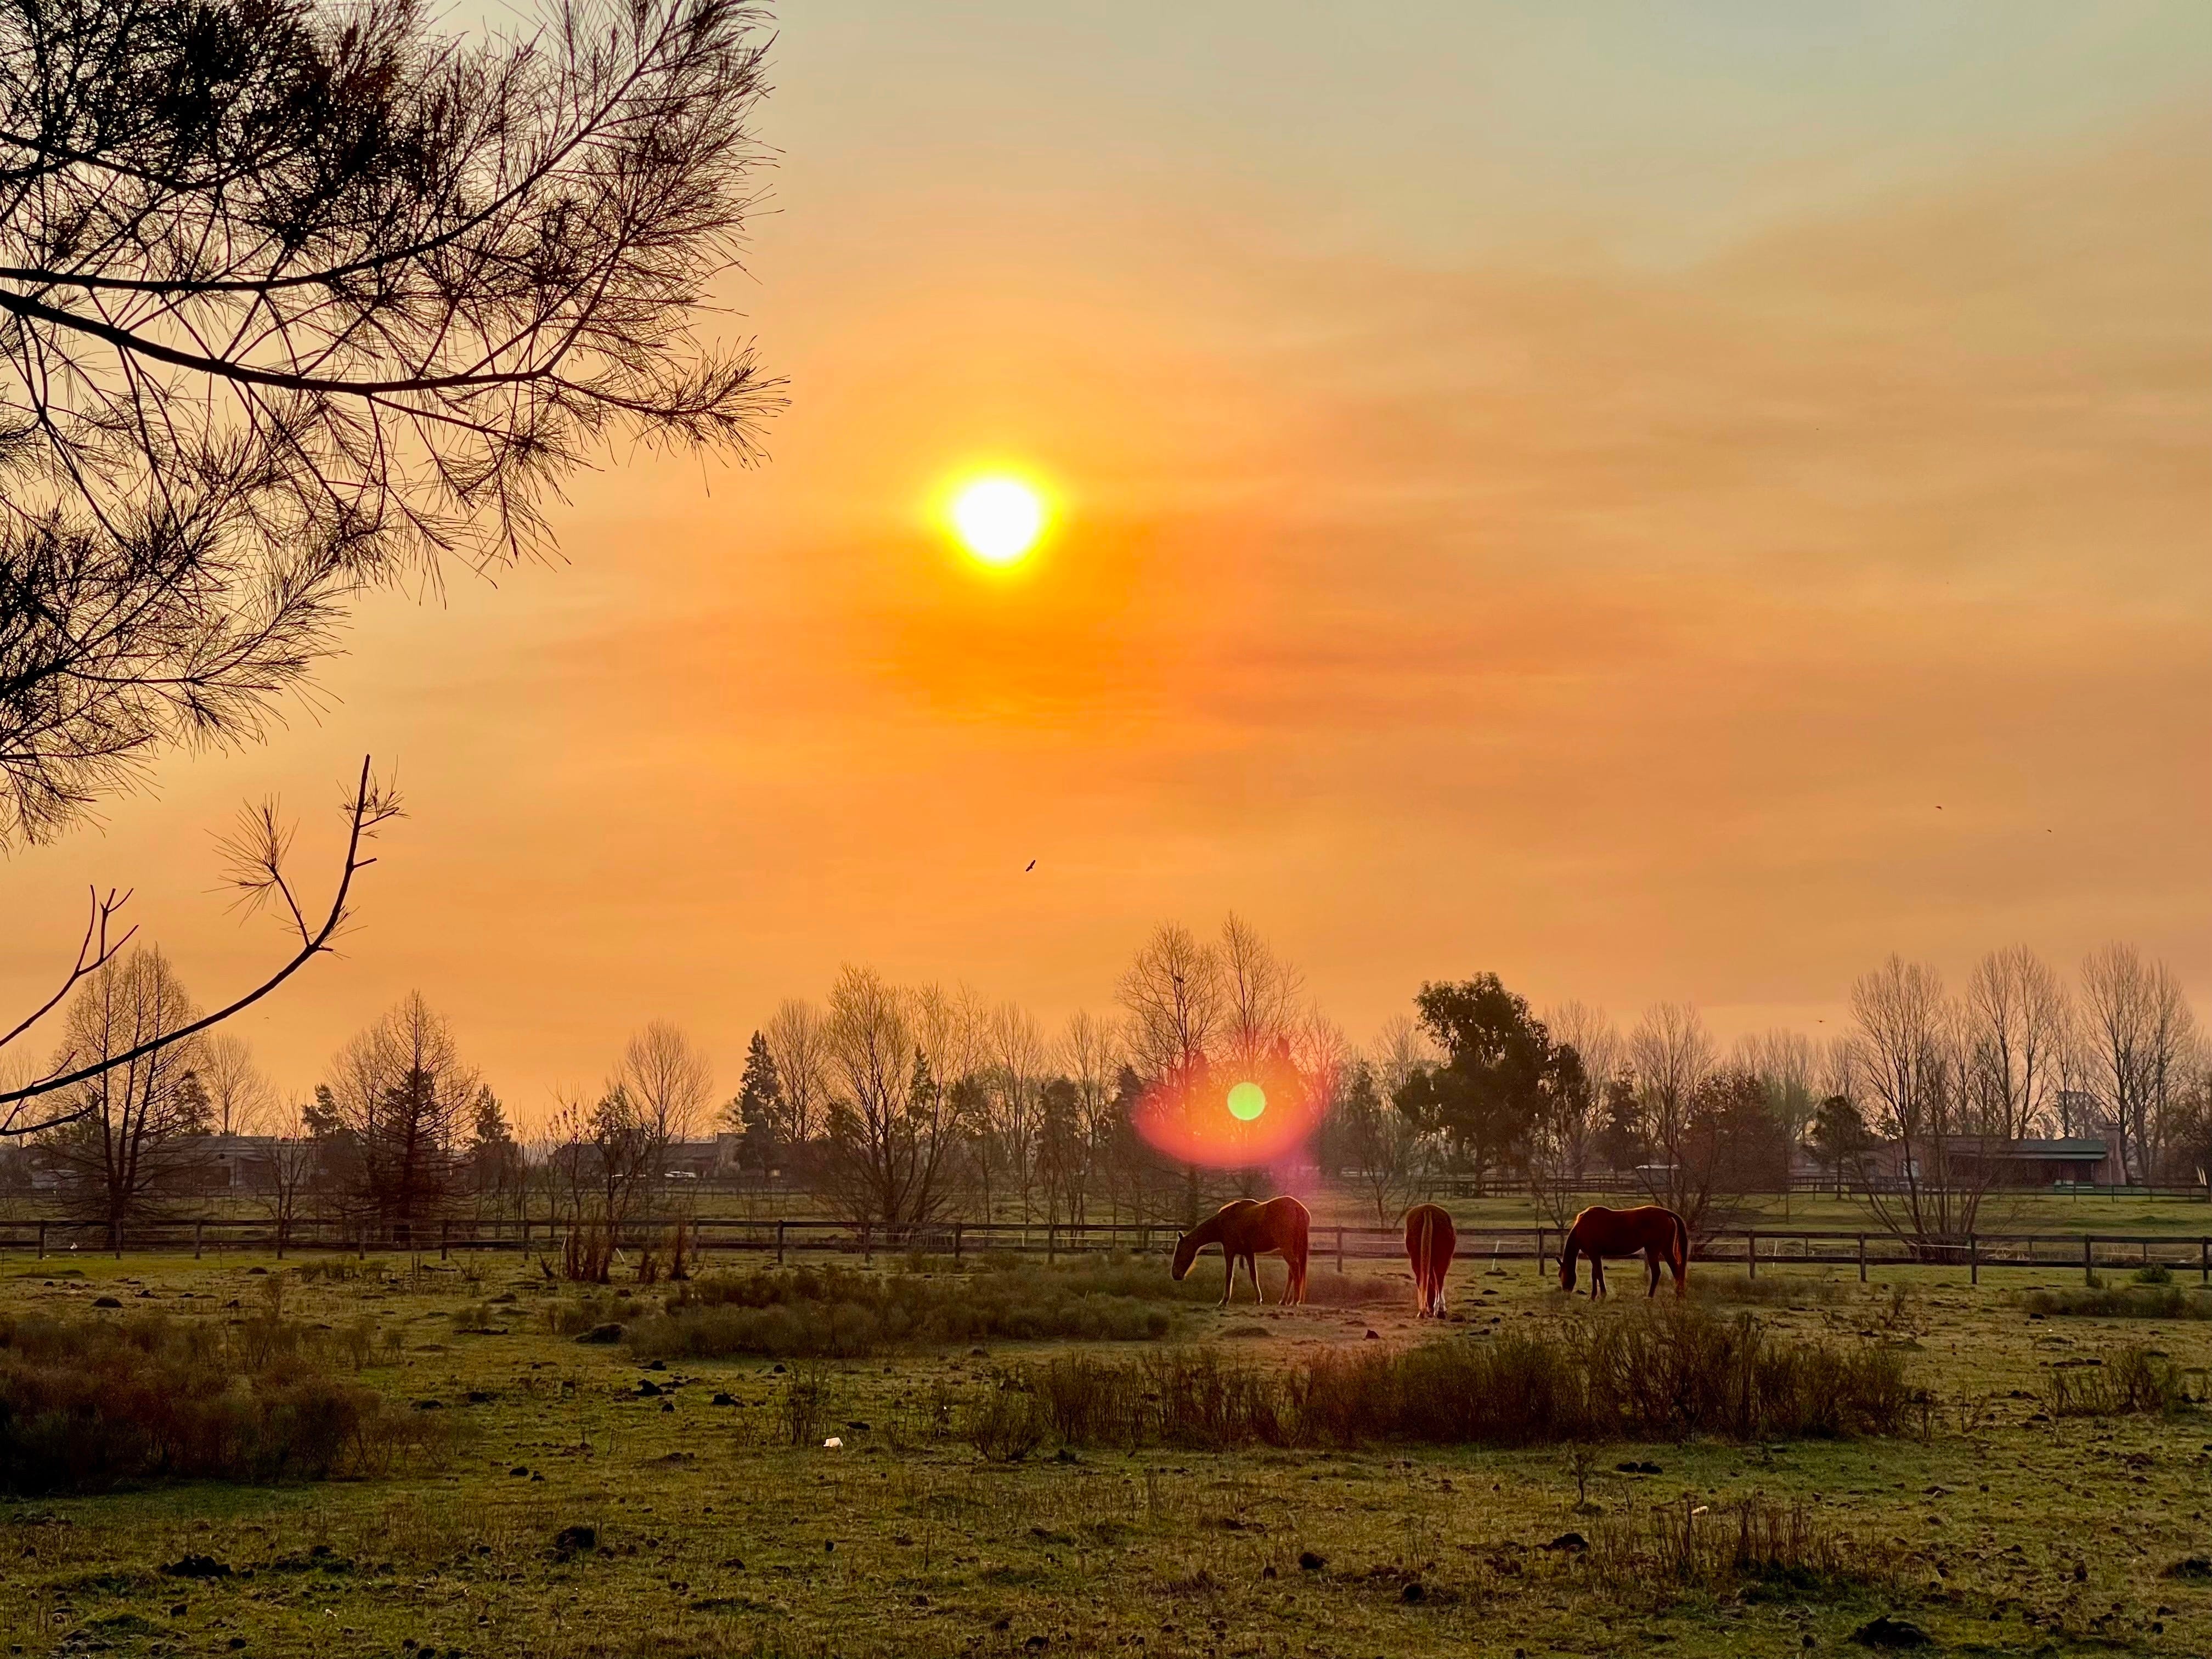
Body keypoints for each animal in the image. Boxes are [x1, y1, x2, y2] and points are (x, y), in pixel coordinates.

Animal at [1177, 1194, 1309, 1309]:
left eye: (1180, 1252)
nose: (1176, 1275)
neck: (1225, 1221)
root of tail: (1298, 1208)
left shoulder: (1229, 1251)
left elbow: (1229, 1275)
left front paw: (1224, 1301)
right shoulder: (1249, 1253)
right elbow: (1253, 1275)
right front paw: (1258, 1299)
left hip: (1287, 1249)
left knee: (1294, 1267)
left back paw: (1295, 1300)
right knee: (1292, 1271)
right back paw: (1285, 1301)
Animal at [1407, 1203, 1460, 1318]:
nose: (1429, 1309)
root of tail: (1428, 1209)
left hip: (1416, 1259)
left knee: (1420, 1279)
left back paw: (1424, 1311)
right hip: (1443, 1260)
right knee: (1439, 1280)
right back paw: (1439, 1310)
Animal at [1557, 1203, 1690, 1309]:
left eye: (1560, 1275)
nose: (1565, 1293)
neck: (1582, 1227)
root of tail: (1666, 1213)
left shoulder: (1594, 1255)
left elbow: (1599, 1274)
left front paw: (1603, 1296)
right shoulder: (1596, 1255)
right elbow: (1595, 1275)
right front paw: (1593, 1297)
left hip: (1653, 1251)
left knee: (1657, 1272)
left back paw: (1651, 1297)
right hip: (1666, 1250)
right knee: (1676, 1270)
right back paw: (1679, 1297)